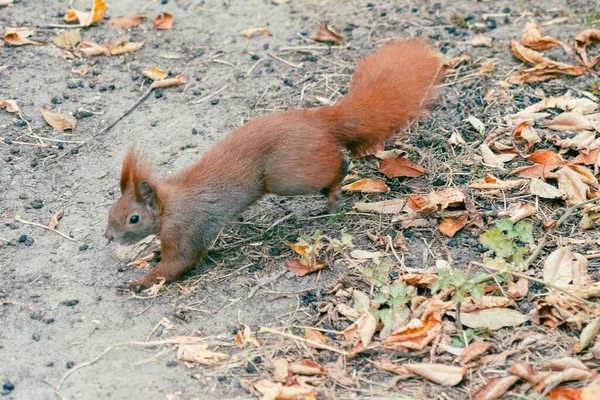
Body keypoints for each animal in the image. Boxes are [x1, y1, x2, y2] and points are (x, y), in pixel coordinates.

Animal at [104, 39, 446, 290]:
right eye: (111, 211)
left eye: (133, 219)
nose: (108, 237)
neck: (168, 206)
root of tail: (320, 120)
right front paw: (151, 254)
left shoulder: (186, 229)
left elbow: (178, 264)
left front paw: (136, 283)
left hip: (288, 174)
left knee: (337, 165)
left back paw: (334, 194)